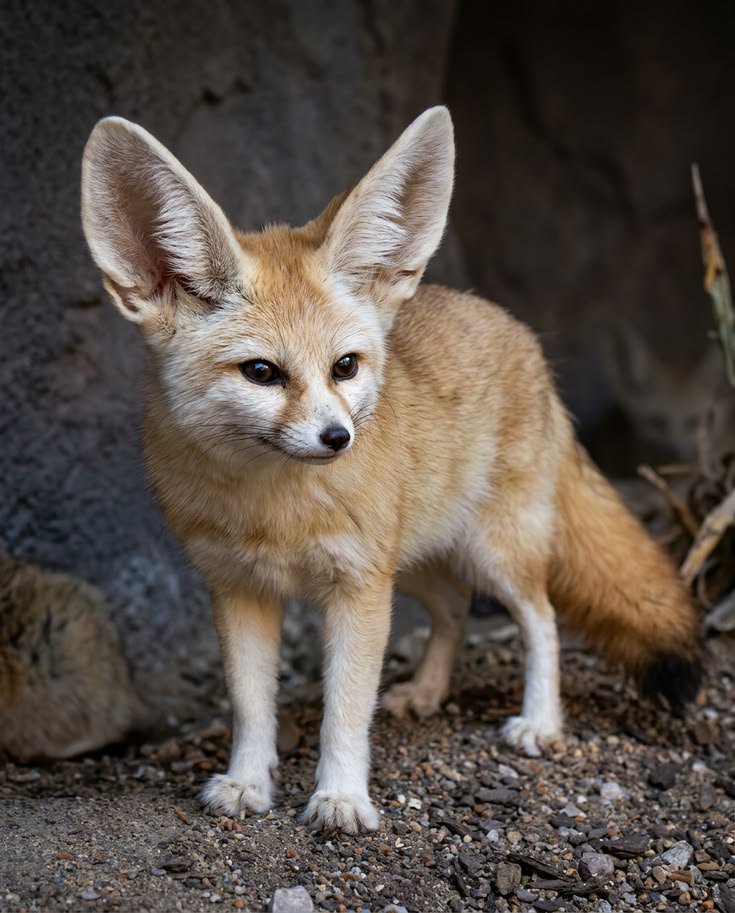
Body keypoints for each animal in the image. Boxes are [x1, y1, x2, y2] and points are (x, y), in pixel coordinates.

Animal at [80, 106, 701, 834]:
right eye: (261, 372)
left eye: (344, 366)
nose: (337, 438)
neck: (276, 512)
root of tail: (512, 325)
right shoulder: (240, 591)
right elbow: (251, 706)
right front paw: (247, 782)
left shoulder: (357, 589)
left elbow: (345, 710)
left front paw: (342, 796)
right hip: (417, 562)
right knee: (455, 609)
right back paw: (427, 691)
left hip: (491, 553)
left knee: (542, 618)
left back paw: (539, 723)